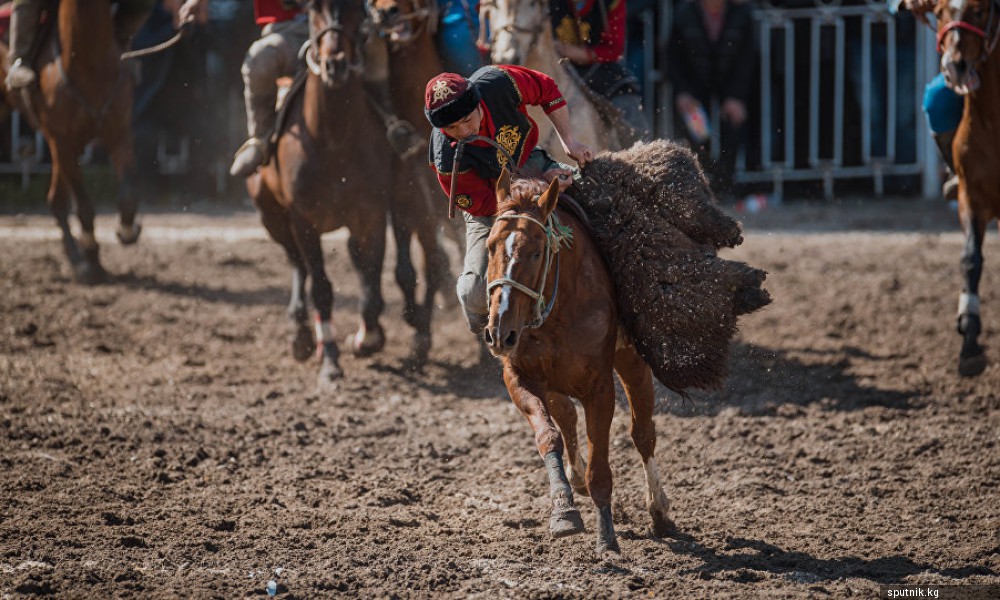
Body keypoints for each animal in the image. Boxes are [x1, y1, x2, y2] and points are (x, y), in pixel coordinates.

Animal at [0, 0, 146, 284]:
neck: (87, 59)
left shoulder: (119, 134)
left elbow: (128, 195)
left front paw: (125, 230)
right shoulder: (61, 141)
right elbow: (84, 206)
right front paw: (90, 257)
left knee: (56, 200)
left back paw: (75, 257)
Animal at [250, 0, 422, 384]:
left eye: (357, 8)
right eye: (314, 8)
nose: (335, 64)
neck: (332, 138)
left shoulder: (370, 214)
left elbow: (371, 277)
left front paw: (369, 336)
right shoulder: (302, 220)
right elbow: (322, 287)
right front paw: (330, 359)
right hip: (271, 215)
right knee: (298, 265)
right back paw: (302, 332)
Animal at [484, 168, 672, 552]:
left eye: (537, 252)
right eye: (490, 246)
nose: (499, 331)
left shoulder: (599, 387)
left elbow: (600, 465)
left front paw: (607, 536)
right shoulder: (519, 378)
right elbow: (549, 436)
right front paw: (564, 511)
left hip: (631, 361)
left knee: (643, 434)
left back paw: (659, 509)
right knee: (567, 418)